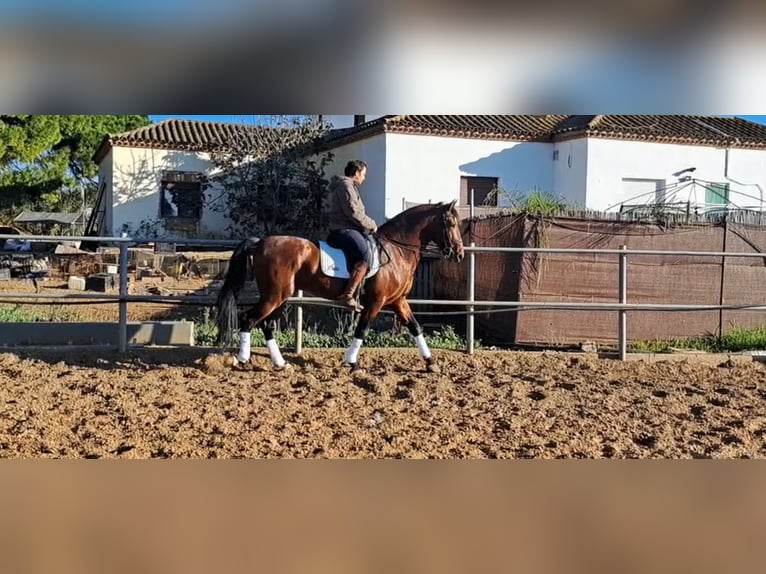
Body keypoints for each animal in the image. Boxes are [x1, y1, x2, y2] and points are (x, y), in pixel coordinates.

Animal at [216, 201, 468, 374]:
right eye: (451, 223)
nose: (459, 254)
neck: (397, 250)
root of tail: (260, 243)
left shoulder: (398, 302)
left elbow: (415, 327)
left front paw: (431, 363)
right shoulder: (375, 303)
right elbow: (362, 330)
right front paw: (353, 363)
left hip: (281, 297)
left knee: (266, 325)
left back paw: (281, 363)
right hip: (274, 296)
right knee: (249, 318)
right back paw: (242, 358)